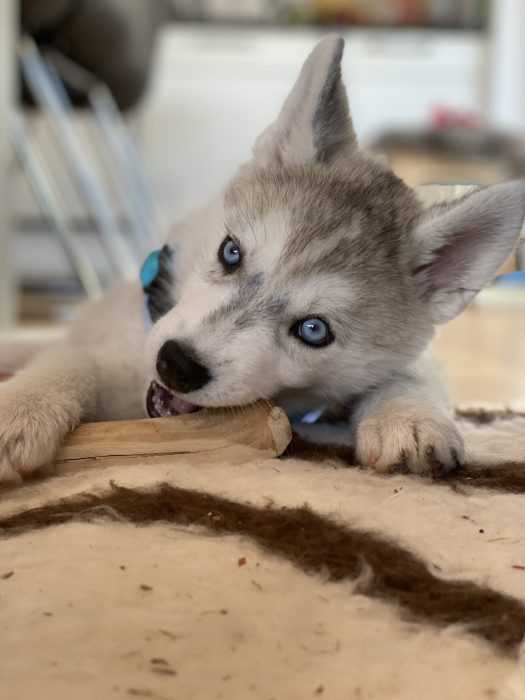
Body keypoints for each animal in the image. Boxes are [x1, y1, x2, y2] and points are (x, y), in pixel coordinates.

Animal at [1, 35, 524, 484]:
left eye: (314, 330)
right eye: (230, 251)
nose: (177, 366)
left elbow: (410, 373)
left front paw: (409, 417)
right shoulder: (120, 354)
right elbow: (74, 361)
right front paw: (21, 406)